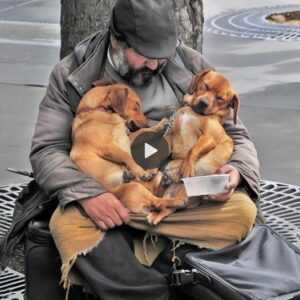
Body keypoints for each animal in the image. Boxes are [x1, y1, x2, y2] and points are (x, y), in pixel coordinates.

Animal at [70, 82, 185, 225]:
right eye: (136, 107)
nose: (147, 123)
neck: (97, 110)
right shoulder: (108, 147)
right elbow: (127, 157)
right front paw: (142, 172)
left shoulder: (127, 139)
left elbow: (140, 133)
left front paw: (159, 125)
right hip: (135, 189)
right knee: (158, 202)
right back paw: (176, 200)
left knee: (157, 193)